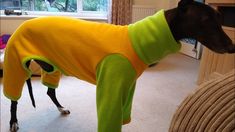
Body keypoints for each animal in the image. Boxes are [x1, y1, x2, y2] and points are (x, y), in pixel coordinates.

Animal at [6, 0, 234, 131]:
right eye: (205, 19)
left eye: (220, 18)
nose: (232, 47)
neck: (136, 40)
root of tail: (24, 24)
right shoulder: (110, 88)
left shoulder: (128, 87)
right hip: (16, 64)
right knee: (14, 99)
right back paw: (14, 122)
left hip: (52, 67)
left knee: (49, 92)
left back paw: (61, 108)